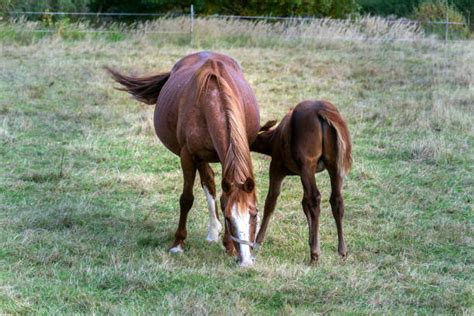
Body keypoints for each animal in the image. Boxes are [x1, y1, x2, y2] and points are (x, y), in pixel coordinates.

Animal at [106, 51, 260, 266]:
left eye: (254, 215)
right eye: (229, 218)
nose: (245, 261)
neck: (213, 98)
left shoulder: (226, 158)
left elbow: (223, 195)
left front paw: (229, 247)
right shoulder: (188, 156)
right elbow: (187, 199)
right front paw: (178, 244)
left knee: (209, 181)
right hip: (199, 156)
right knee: (208, 181)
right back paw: (213, 231)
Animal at [252, 99, 352, 262]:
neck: (273, 140)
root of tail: (321, 111)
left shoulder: (277, 166)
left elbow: (271, 201)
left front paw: (257, 241)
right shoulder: (300, 173)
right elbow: (304, 203)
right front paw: (311, 239)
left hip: (307, 163)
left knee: (315, 198)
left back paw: (315, 254)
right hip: (335, 163)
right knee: (336, 199)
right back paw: (342, 251)